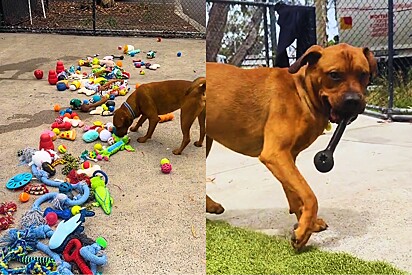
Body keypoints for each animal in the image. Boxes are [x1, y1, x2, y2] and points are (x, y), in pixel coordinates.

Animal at [206, 42, 376, 250]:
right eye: (334, 74)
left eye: (363, 74)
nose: (353, 101)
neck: (301, 93)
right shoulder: (276, 154)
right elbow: (309, 195)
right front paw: (303, 233)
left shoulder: (288, 157)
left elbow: (295, 195)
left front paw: (307, 224)